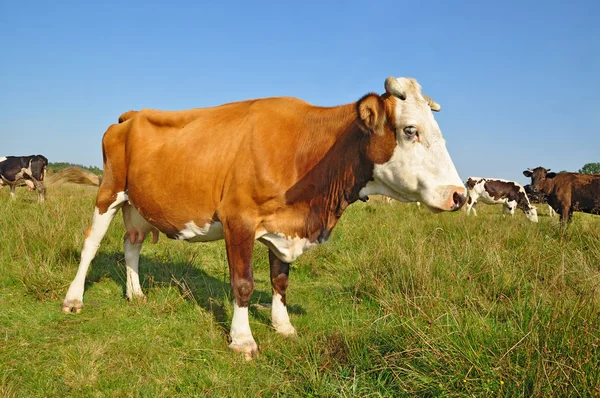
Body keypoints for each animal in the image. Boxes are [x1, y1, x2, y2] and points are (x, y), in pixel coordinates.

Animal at [61, 76, 466, 360]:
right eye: (410, 130)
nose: (459, 195)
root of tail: (132, 115)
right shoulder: (238, 219)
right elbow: (243, 283)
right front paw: (242, 340)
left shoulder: (284, 228)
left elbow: (280, 280)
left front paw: (283, 325)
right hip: (109, 191)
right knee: (91, 244)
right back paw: (73, 299)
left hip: (138, 205)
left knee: (131, 245)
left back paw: (136, 294)